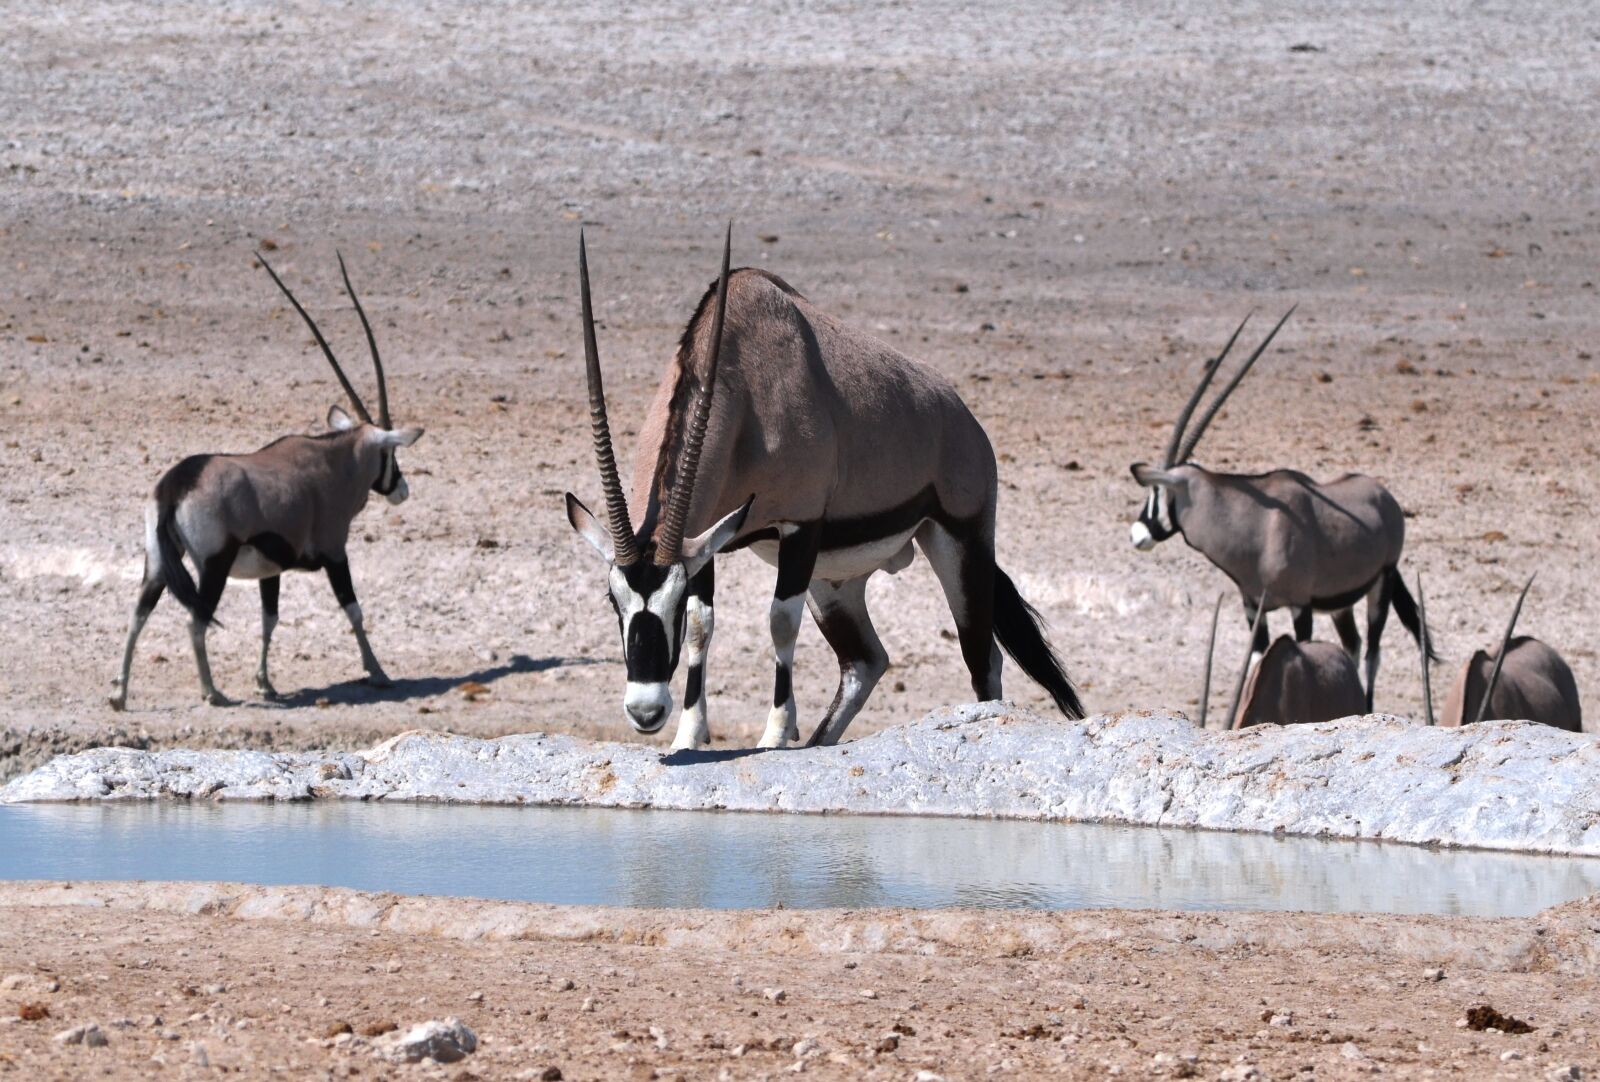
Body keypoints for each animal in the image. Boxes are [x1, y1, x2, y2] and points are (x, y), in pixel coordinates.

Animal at [109, 253, 423, 711]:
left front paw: (266, 683)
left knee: (138, 614)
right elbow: (353, 609)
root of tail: (174, 485)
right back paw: (212, 692)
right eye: (391, 453)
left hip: (158, 563)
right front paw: (378, 672)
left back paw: (119, 693)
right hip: (214, 566)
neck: (334, 462)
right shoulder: (335, 553)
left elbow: (269, 619)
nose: (401, 489)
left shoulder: (270, 569)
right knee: (195, 621)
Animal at [564, 229, 1084, 750]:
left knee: (982, 659)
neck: (744, 384)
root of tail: (963, 419)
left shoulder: (799, 525)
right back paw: (818, 740)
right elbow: (703, 626)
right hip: (834, 583)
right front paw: (688, 737)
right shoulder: (704, 540)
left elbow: (779, 621)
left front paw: (775, 735)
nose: (646, 710)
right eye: (613, 600)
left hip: (960, 543)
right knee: (864, 662)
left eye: (670, 603)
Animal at [1130, 312, 1433, 710]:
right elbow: (1256, 662)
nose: (1136, 534)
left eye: (1156, 490)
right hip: (1339, 603)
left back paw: (1365, 707)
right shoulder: (1252, 608)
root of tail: (1385, 496)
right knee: (1352, 645)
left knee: (1372, 653)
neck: (1255, 524)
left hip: (1381, 584)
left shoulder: (1299, 605)